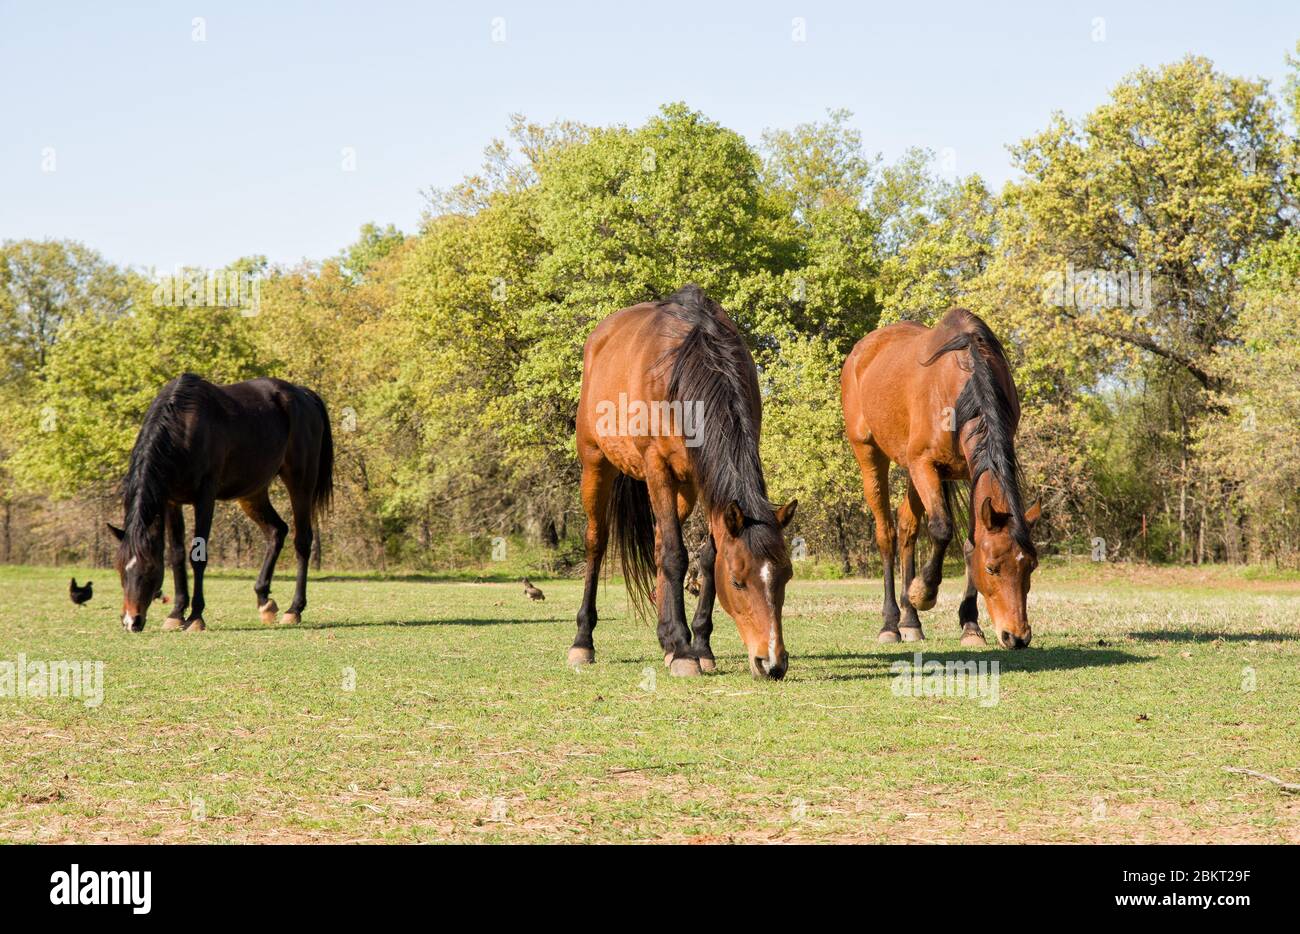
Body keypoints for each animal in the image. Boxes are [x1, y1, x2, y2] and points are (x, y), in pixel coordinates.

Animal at [108, 377, 332, 632]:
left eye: (149, 568)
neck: (183, 427)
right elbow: (177, 555)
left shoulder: (205, 497)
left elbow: (198, 555)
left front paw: (195, 616)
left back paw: (294, 610)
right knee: (277, 531)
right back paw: (264, 600)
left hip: (300, 482)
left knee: (302, 540)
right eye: (120, 568)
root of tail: (303, 394)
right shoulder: (171, 500)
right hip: (253, 493)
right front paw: (176, 613)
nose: (131, 621)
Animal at [572, 284, 795, 681]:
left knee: (661, 541)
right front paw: (684, 653)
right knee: (596, 543)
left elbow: (704, 557)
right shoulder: (657, 467)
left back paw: (668, 640)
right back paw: (584, 642)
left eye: (786, 577)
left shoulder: (706, 480)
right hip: (596, 463)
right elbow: (676, 556)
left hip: (684, 488)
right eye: (738, 581)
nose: (771, 663)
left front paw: (698, 646)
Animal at [837, 310, 1040, 647]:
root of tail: (860, 350)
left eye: (1031, 567)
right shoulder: (924, 464)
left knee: (907, 528)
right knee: (887, 534)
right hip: (870, 454)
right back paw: (891, 623)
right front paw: (923, 592)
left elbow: (970, 542)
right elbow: (942, 529)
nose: (1017, 636)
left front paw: (970, 625)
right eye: (992, 568)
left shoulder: (970, 471)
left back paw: (909, 620)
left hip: (913, 472)